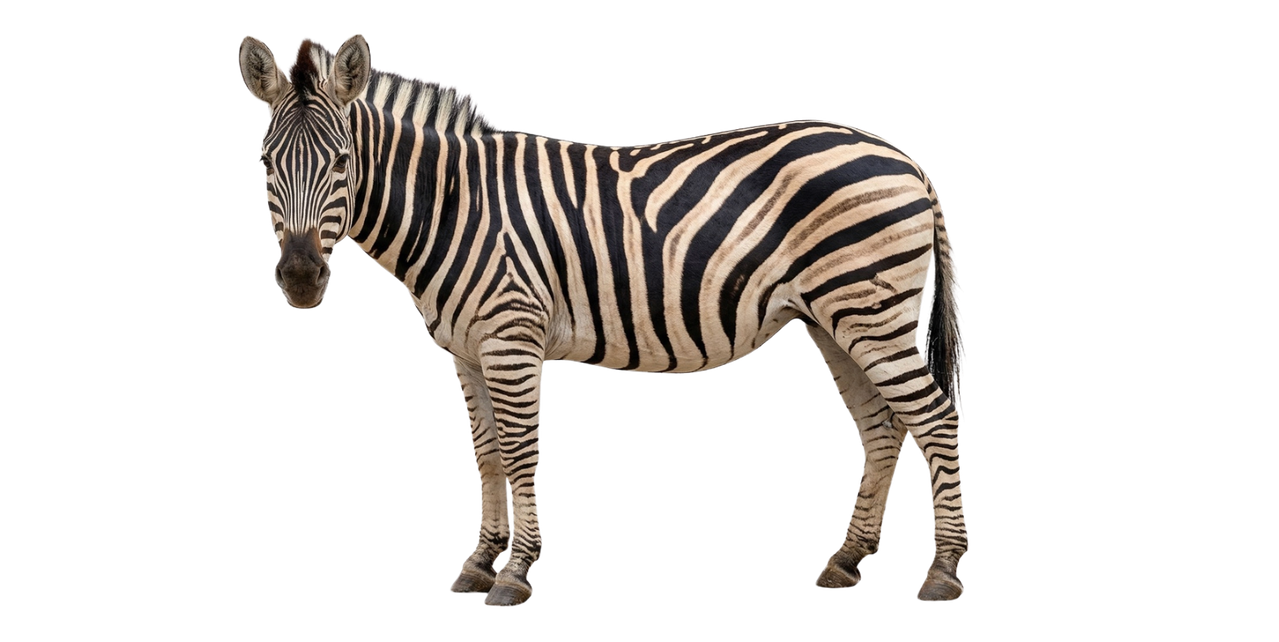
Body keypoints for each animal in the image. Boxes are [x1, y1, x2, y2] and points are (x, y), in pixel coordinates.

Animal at [239, 33, 969, 606]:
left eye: (341, 162)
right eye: (266, 163)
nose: (300, 280)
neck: (452, 205)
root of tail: (902, 157)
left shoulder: (511, 337)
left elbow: (521, 452)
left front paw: (516, 572)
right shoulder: (467, 350)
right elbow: (485, 456)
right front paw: (478, 563)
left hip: (870, 311)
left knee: (933, 417)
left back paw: (942, 570)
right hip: (835, 319)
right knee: (881, 428)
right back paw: (846, 560)